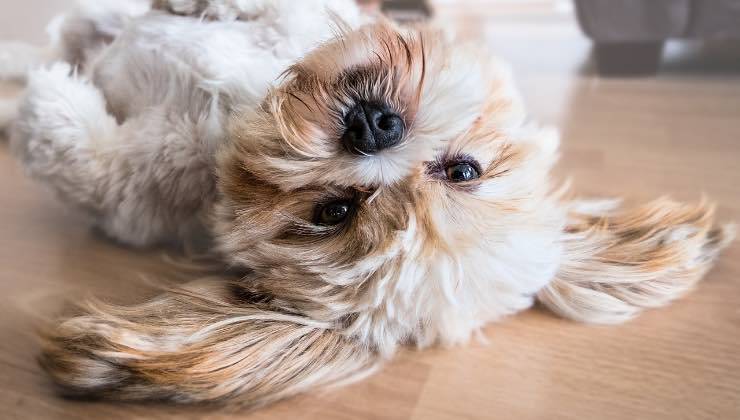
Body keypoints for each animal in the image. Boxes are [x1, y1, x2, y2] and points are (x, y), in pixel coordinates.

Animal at [0, 0, 732, 408]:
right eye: (464, 171)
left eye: (334, 212)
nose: (374, 126)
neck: (237, 110)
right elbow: (272, 13)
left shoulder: (134, 192)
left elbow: (83, 156)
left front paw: (49, 103)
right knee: (62, 34)